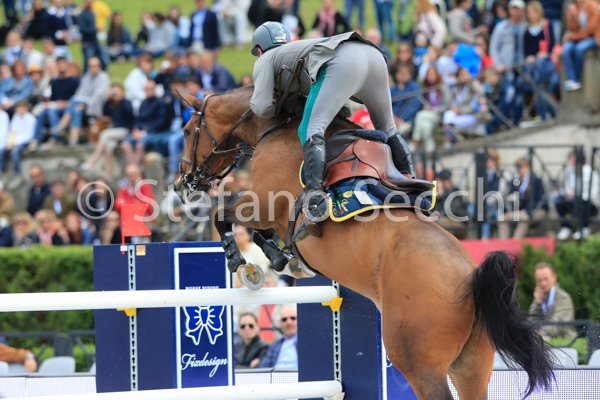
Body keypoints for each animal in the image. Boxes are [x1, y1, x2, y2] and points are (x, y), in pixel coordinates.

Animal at [173, 87, 554, 399]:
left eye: (187, 131)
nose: (181, 182)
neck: (276, 128)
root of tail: (471, 278)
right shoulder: (271, 213)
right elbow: (259, 232)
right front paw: (284, 261)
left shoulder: (266, 204)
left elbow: (225, 215)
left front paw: (243, 264)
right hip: (472, 365)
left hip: (421, 365)